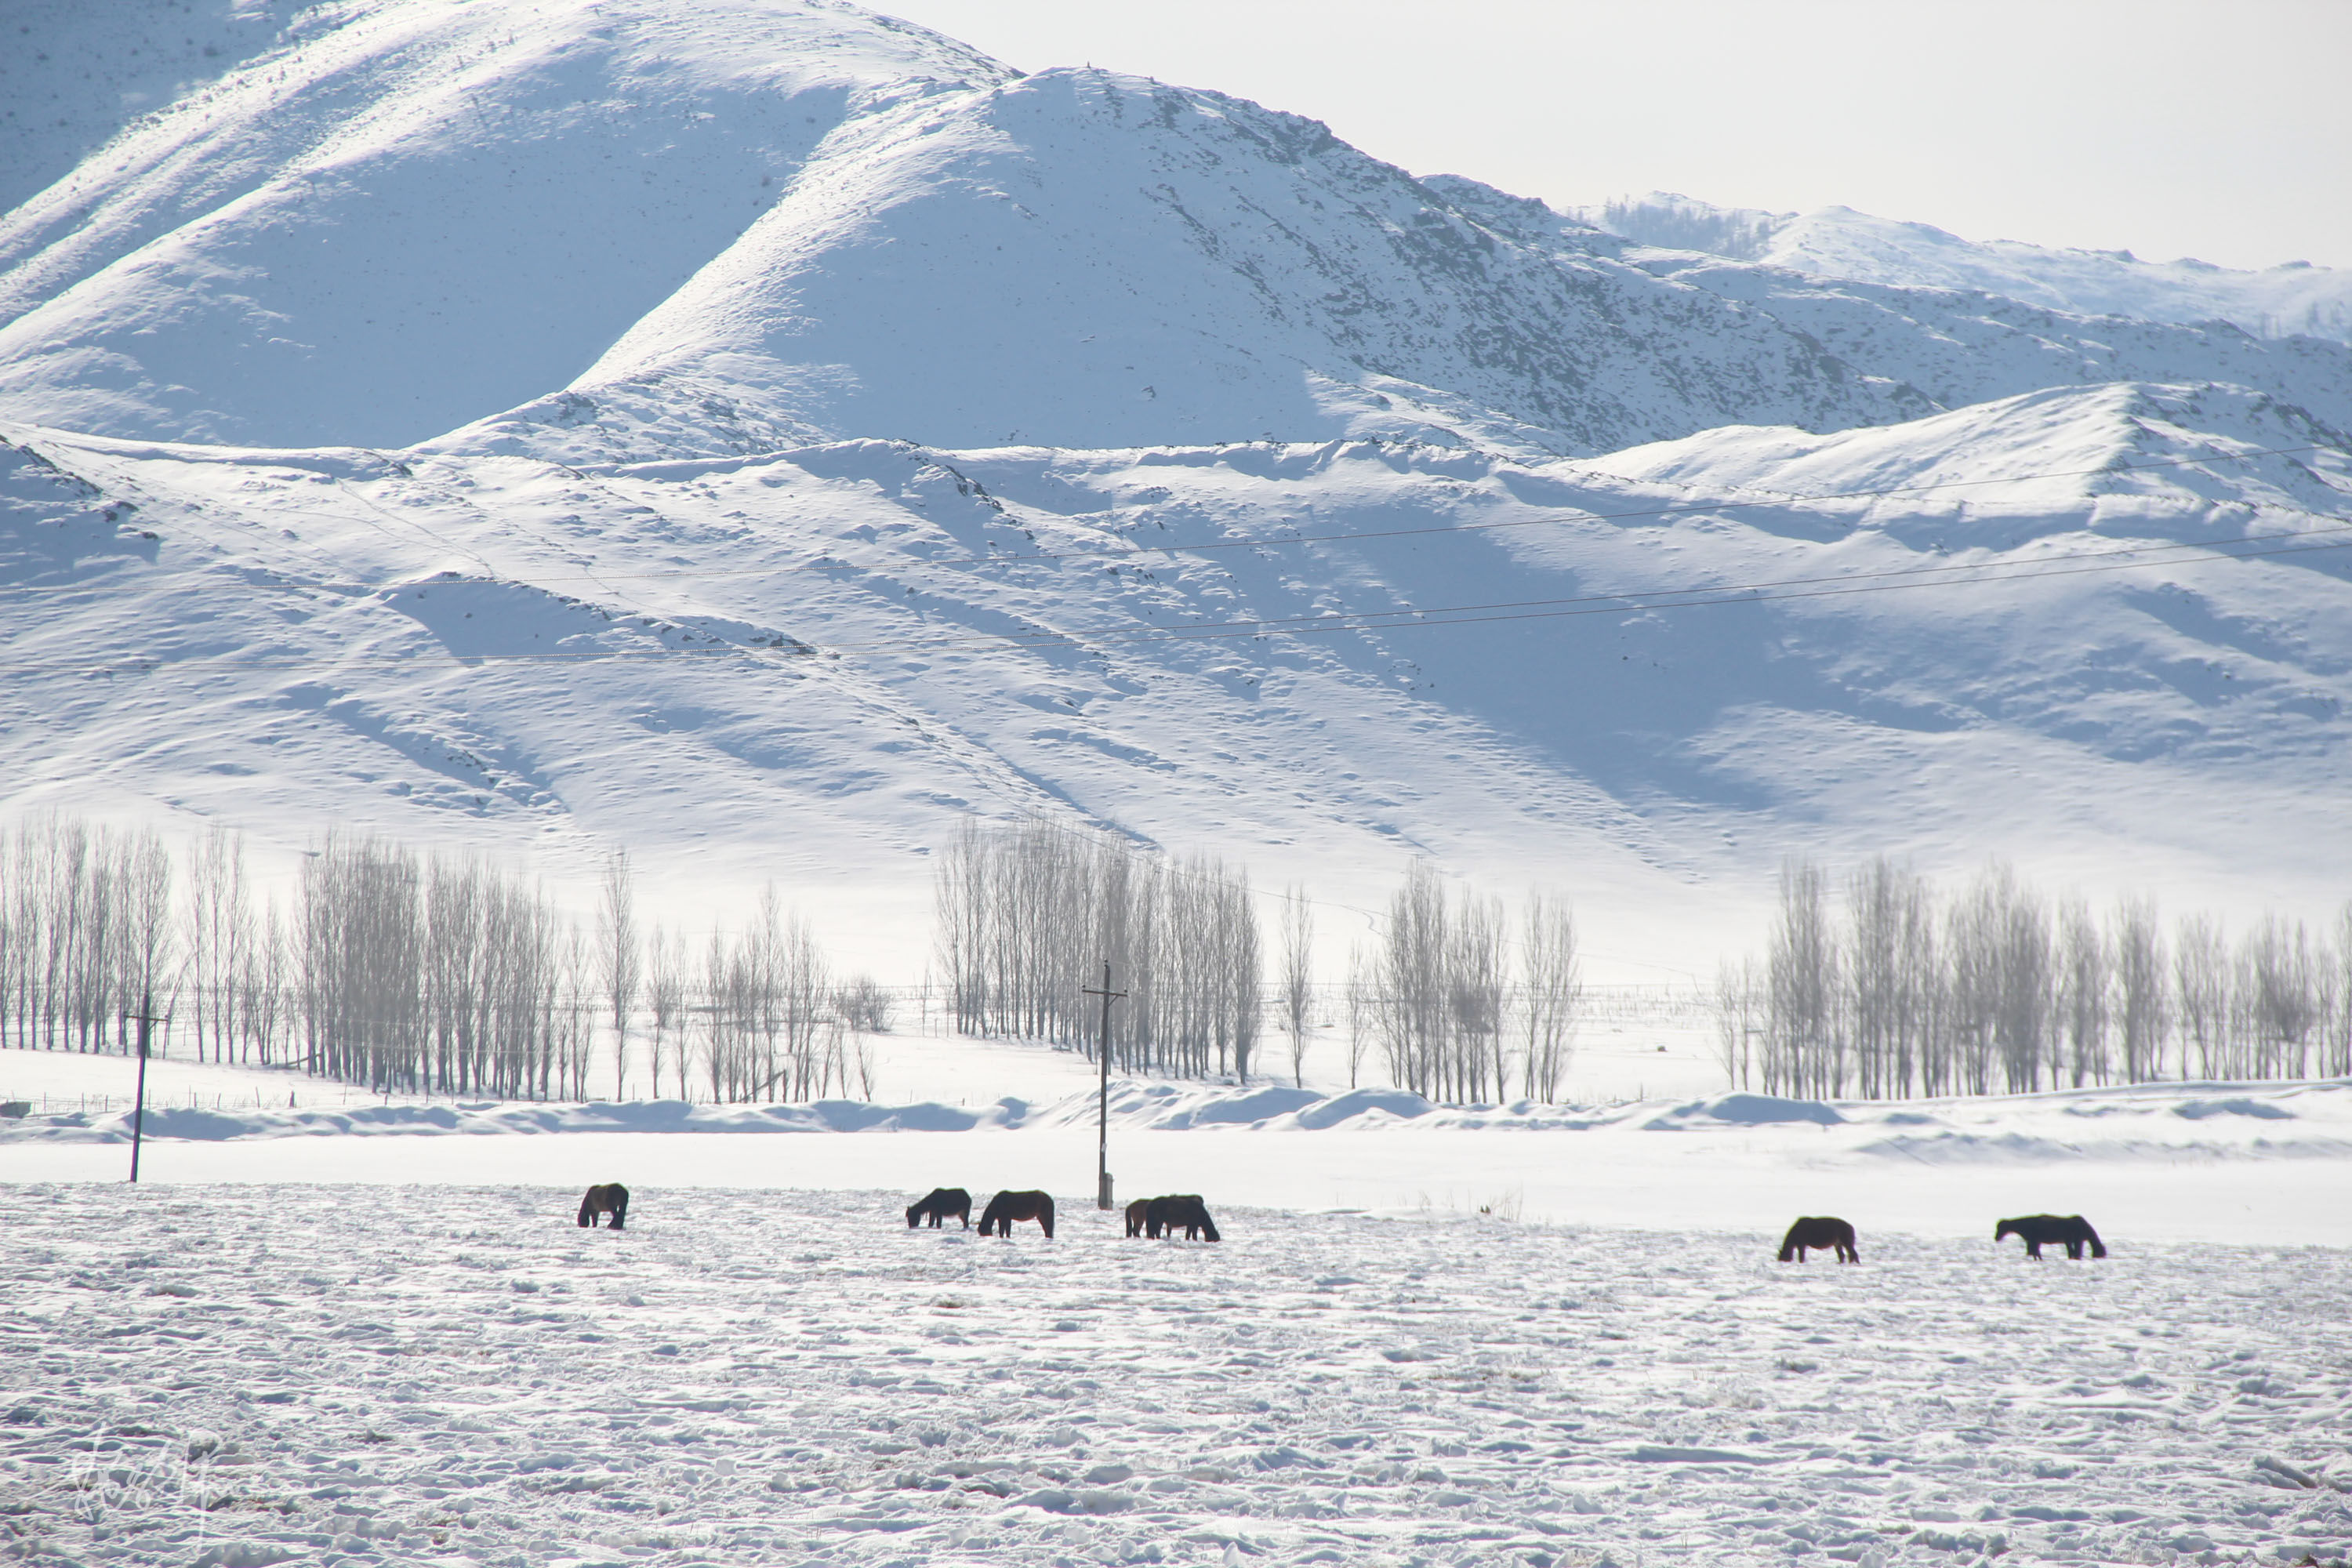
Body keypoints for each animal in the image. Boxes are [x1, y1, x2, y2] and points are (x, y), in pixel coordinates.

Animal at [1994, 1213, 2107, 1260]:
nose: (1996, 1237)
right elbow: (2075, 1252)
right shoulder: (2076, 1240)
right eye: (2102, 1253)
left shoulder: (2070, 1241)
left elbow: (2072, 1252)